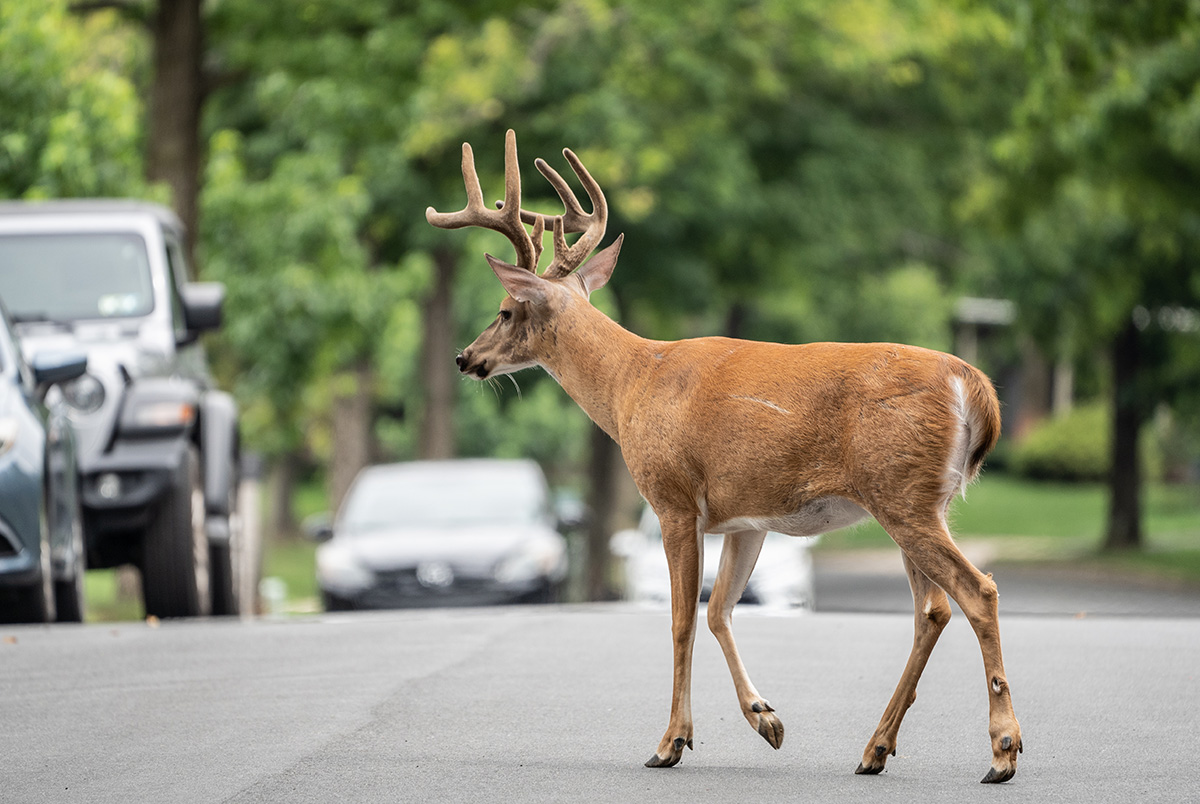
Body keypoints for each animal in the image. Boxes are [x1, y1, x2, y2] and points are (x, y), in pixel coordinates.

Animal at [426, 129, 1023, 783]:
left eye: (505, 310)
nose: (464, 357)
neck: (631, 386)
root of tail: (976, 385)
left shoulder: (672, 499)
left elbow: (681, 619)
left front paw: (669, 742)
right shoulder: (745, 517)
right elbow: (719, 611)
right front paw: (766, 720)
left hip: (902, 494)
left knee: (977, 592)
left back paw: (1002, 750)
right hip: (919, 499)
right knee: (932, 610)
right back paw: (876, 749)